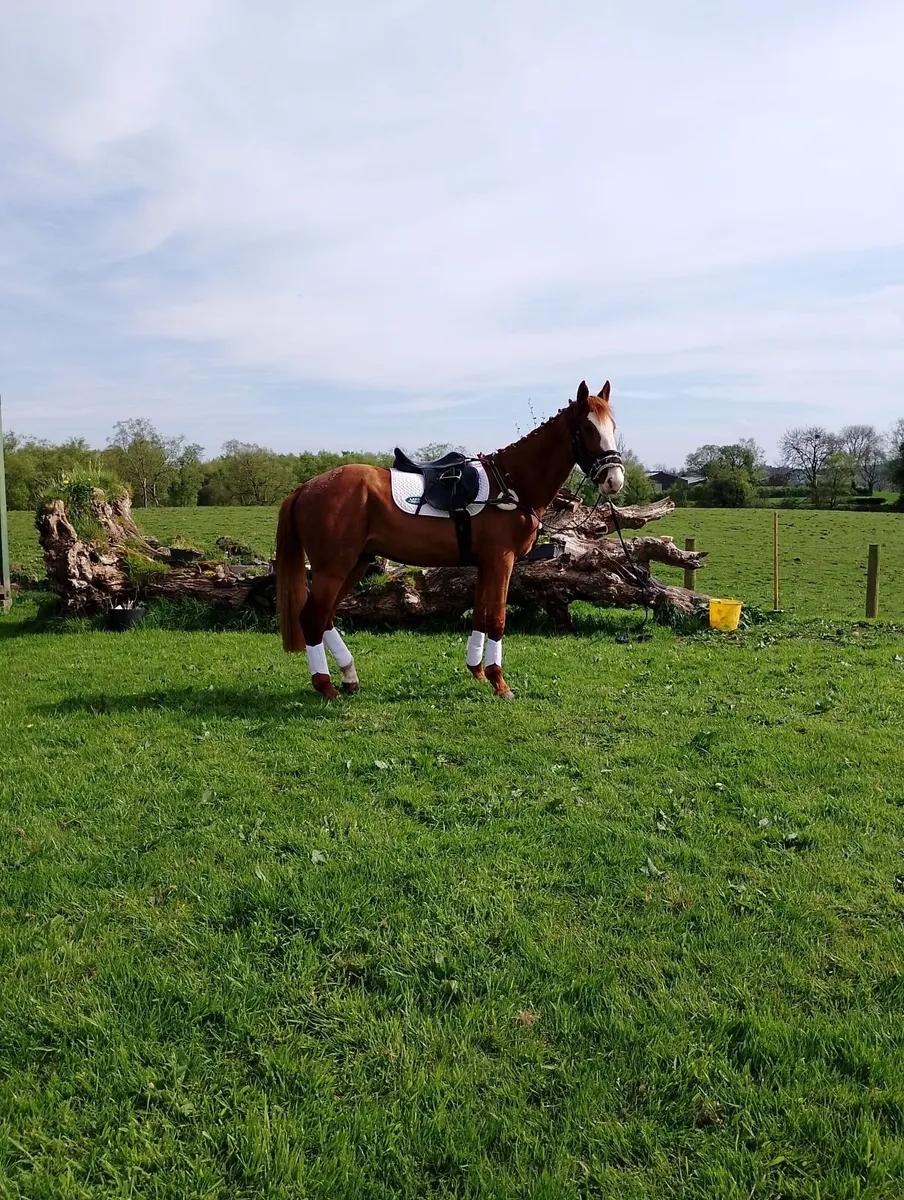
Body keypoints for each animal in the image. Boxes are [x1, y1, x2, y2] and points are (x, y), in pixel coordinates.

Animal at [275, 380, 625, 700]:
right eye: (588, 428)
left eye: (613, 426)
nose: (614, 480)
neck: (510, 483)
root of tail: (305, 488)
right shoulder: (502, 561)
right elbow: (497, 619)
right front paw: (500, 683)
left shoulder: (486, 565)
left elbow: (481, 616)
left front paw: (478, 672)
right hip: (333, 568)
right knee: (312, 618)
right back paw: (326, 686)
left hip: (355, 564)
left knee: (325, 618)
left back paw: (348, 676)